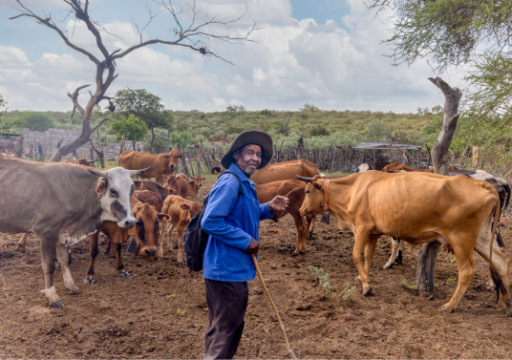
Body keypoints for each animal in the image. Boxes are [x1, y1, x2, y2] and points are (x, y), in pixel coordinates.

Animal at [296, 173, 508, 314]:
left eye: (307, 191)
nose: (300, 210)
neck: (353, 189)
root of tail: (480, 183)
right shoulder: (373, 232)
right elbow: (368, 256)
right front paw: (364, 277)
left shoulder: (362, 228)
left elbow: (356, 255)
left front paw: (366, 286)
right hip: (481, 238)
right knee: (500, 262)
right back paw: (507, 303)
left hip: (460, 239)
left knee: (467, 270)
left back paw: (449, 306)